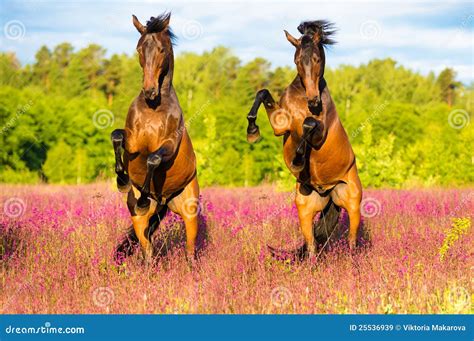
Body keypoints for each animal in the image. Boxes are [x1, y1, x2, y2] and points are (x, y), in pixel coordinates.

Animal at [111, 12, 200, 262]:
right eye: (139, 48)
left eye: (161, 49)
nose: (149, 90)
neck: (154, 108)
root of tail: (163, 202)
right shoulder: (133, 142)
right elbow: (116, 136)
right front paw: (122, 179)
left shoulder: (168, 145)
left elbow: (153, 158)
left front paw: (141, 196)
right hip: (140, 220)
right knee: (147, 251)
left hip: (190, 212)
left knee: (190, 252)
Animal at [246, 19, 362, 256]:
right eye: (297, 60)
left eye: (317, 58)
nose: (313, 100)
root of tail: (328, 190)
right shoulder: (281, 126)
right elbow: (262, 93)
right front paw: (252, 131)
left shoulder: (317, 135)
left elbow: (309, 125)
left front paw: (299, 159)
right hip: (305, 210)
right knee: (311, 246)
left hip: (353, 205)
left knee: (353, 241)